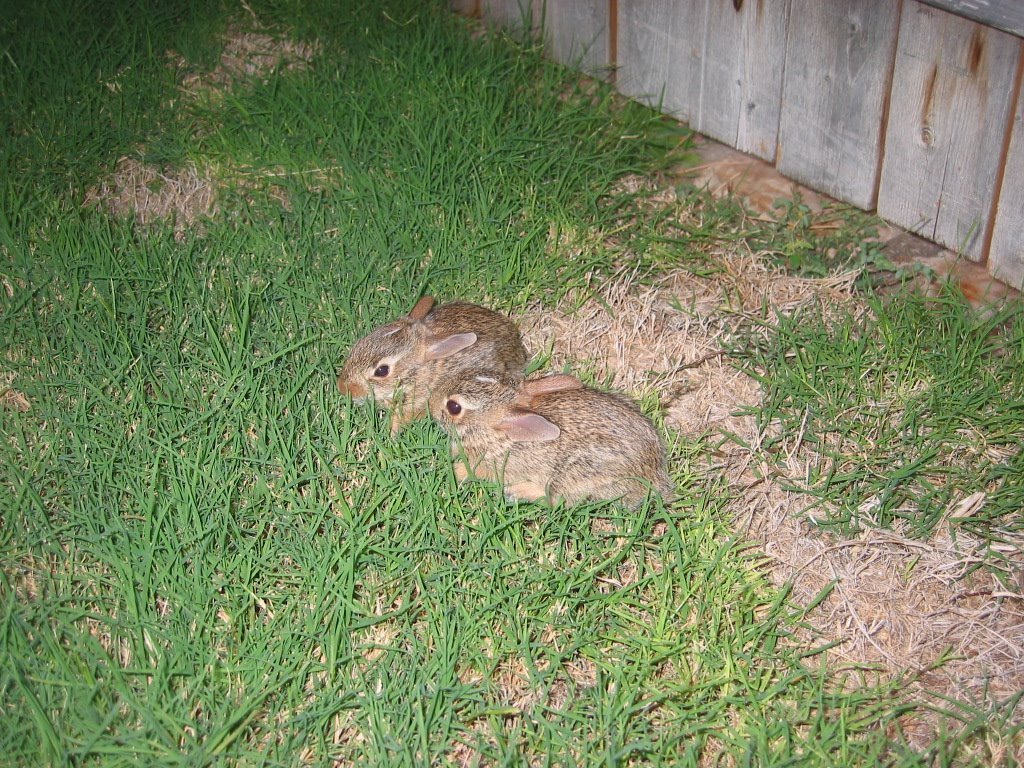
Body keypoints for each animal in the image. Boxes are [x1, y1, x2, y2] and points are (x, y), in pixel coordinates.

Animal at [430, 372, 675, 512]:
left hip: (577, 473)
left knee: (556, 501)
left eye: (454, 407)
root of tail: (655, 475)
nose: (431, 402)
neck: (494, 434)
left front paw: (455, 471)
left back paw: (517, 492)